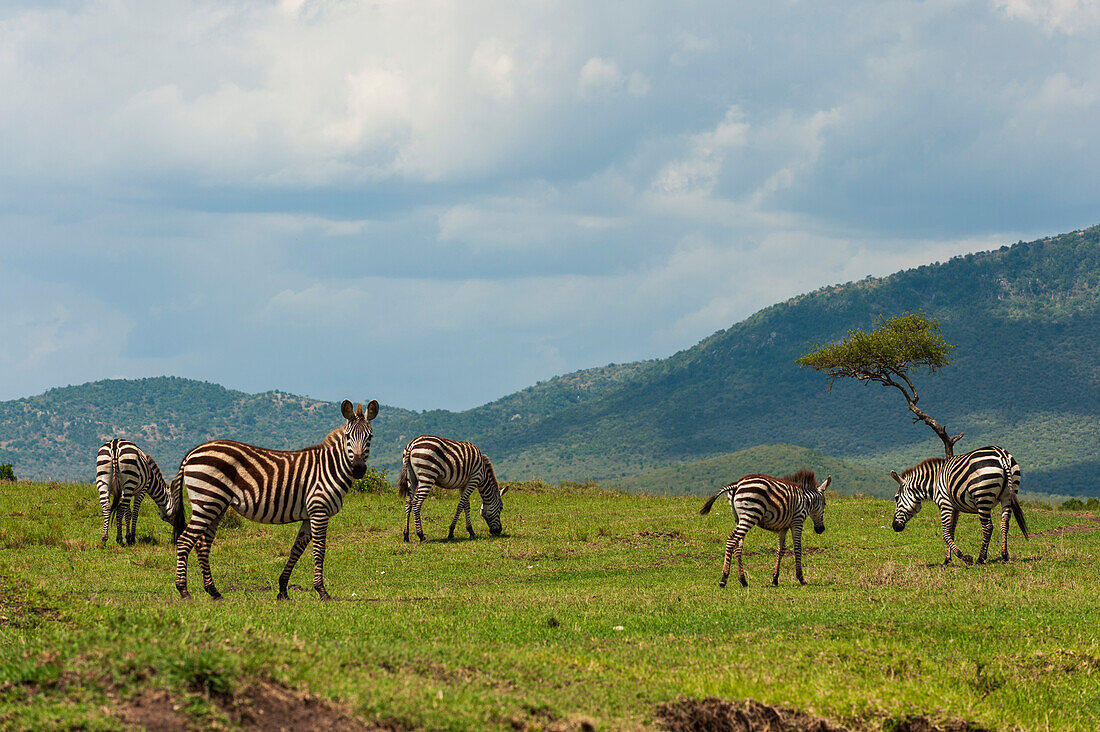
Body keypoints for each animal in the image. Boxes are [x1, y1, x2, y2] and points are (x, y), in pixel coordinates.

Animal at [170, 400, 378, 598]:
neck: (331, 467)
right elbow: (319, 550)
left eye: (370, 437)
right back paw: (183, 591)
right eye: (348, 437)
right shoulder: (319, 510)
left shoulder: (309, 515)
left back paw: (213, 592)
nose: (358, 468)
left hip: (216, 505)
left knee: (203, 545)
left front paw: (283, 589)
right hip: (207, 501)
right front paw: (322, 591)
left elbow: (297, 549)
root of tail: (192, 452)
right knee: (185, 540)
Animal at [699, 468, 827, 590]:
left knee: (738, 545)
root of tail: (737, 484)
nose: (821, 529)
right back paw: (723, 579)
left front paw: (775, 579)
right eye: (825, 504)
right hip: (750, 514)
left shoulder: (784, 527)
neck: (806, 500)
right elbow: (797, 548)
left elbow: (781, 550)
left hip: (739, 518)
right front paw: (801, 578)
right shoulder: (797, 521)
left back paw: (743, 580)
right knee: (731, 539)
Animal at [888, 442, 1025, 561]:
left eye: (896, 498)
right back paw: (1004, 554)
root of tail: (1001, 455)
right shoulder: (955, 507)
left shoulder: (945, 504)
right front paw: (947, 559)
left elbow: (945, 533)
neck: (934, 483)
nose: (894, 526)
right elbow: (951, 532)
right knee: (1004, 524)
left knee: (988, 527)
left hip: (983, 497)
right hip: (1008, 495)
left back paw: (981, 558)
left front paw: (964, 557)